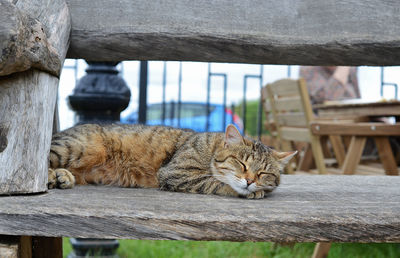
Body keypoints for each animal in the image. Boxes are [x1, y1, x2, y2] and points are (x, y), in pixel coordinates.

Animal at [47, 124, 296, 199]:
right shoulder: (176, 172)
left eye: (263, 173)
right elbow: (216, 182)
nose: (250, 181)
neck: (211, 148)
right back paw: (52, 176)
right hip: (78, 146)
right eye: (242, 164)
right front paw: (250, 191)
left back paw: (62, 177)